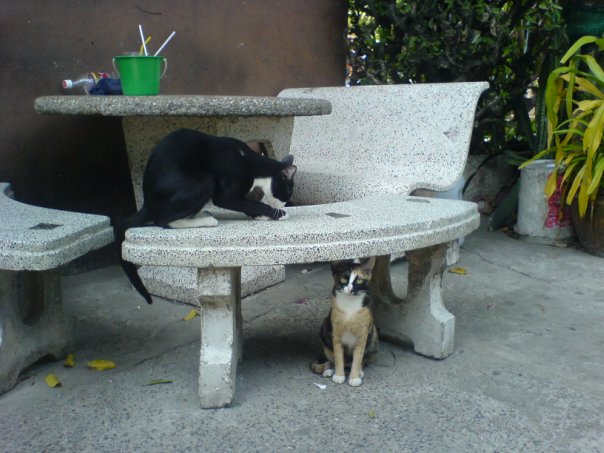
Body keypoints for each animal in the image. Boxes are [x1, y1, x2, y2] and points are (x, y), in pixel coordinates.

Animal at [113, 128, 297, 304]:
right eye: (287, 193)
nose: (283, 205)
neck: (252, 164)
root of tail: (148, 203)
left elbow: (248, 205)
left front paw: (261, 216)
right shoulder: (225, 194)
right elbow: (250, 203)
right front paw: (278, 214)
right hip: (204, 181)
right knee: (163, 219)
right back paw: (207, 220)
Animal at [311, 257, 378, 386]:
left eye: (359, 281)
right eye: (343, 279)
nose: (350, 289)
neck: (350, 307)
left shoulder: (362, 334)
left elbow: (358, 358)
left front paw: (354, 377)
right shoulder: (336, 333)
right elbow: (338, 357)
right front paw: (339, 375)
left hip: (373, 334)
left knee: (363, 359)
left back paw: (359, 371)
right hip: (325, 328)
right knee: (331, 359)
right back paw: (329, 370)